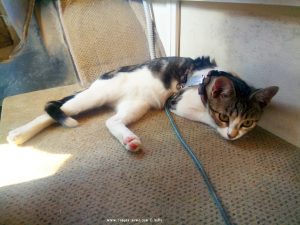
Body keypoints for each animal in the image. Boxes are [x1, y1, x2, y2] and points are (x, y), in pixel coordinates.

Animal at [6, 56, 278, 152]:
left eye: (248, 122)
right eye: (224, 116)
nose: (233, 135)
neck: (206, 79)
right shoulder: (177, 101)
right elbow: (204, 115)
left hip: (136, 105)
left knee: (111, 120)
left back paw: (129, 140)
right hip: (94, 96)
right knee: (57, 110)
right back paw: (20, 133)